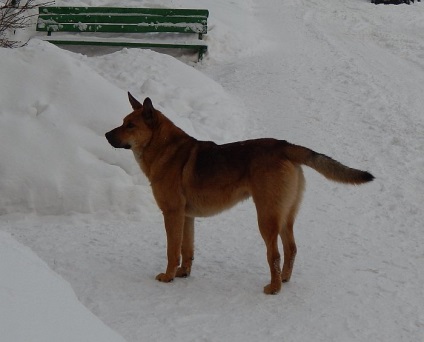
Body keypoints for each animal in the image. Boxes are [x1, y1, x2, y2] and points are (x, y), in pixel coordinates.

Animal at [106, 93, 374, 294]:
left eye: (130, 125)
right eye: (123, 121)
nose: (107, 135)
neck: (163, 148)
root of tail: (285, 146)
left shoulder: (172, 214)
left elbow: (172, 250)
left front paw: (168, 275)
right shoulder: (187, 217)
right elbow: (187, 249)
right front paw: (183, 273)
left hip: (266, 217)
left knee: (274, 254)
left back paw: (274, 287)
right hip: (285, 216)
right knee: (291, 249)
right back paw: (284, 279)